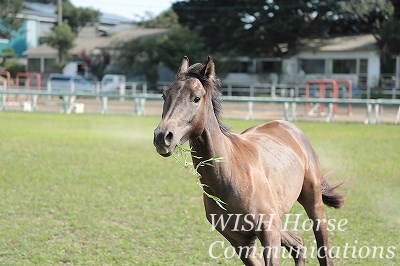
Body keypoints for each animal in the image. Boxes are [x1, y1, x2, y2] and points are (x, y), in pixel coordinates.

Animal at [153, 56, 344, 266]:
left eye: (196, 98)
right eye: (164, 95)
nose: (163, 137)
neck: (229, 177)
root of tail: (290, 128)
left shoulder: (268, 232)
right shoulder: (241, 242)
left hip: (313, 202)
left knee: (323, 250)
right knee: (298, 245)